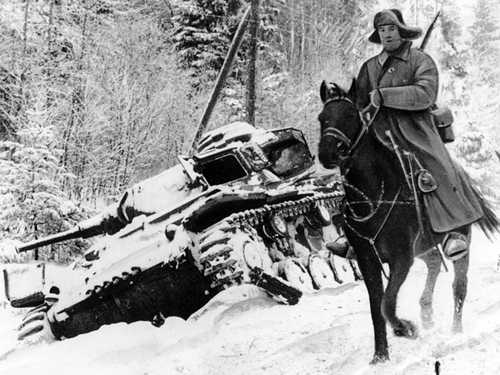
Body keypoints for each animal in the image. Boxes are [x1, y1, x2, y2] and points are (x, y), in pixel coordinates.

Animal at [318, 80, 498, 364]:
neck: (375, 197)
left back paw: (455, 331)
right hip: (422, 248)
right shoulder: (368, 261)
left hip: (459, 238)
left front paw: (405, 328)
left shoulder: (401, 258)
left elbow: (387, 302)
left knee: (459, 285)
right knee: (434, 263)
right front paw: (380, 356)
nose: (327, 153)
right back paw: (426, 313)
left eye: (350, 116)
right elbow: (376, 307)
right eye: (322, 118)